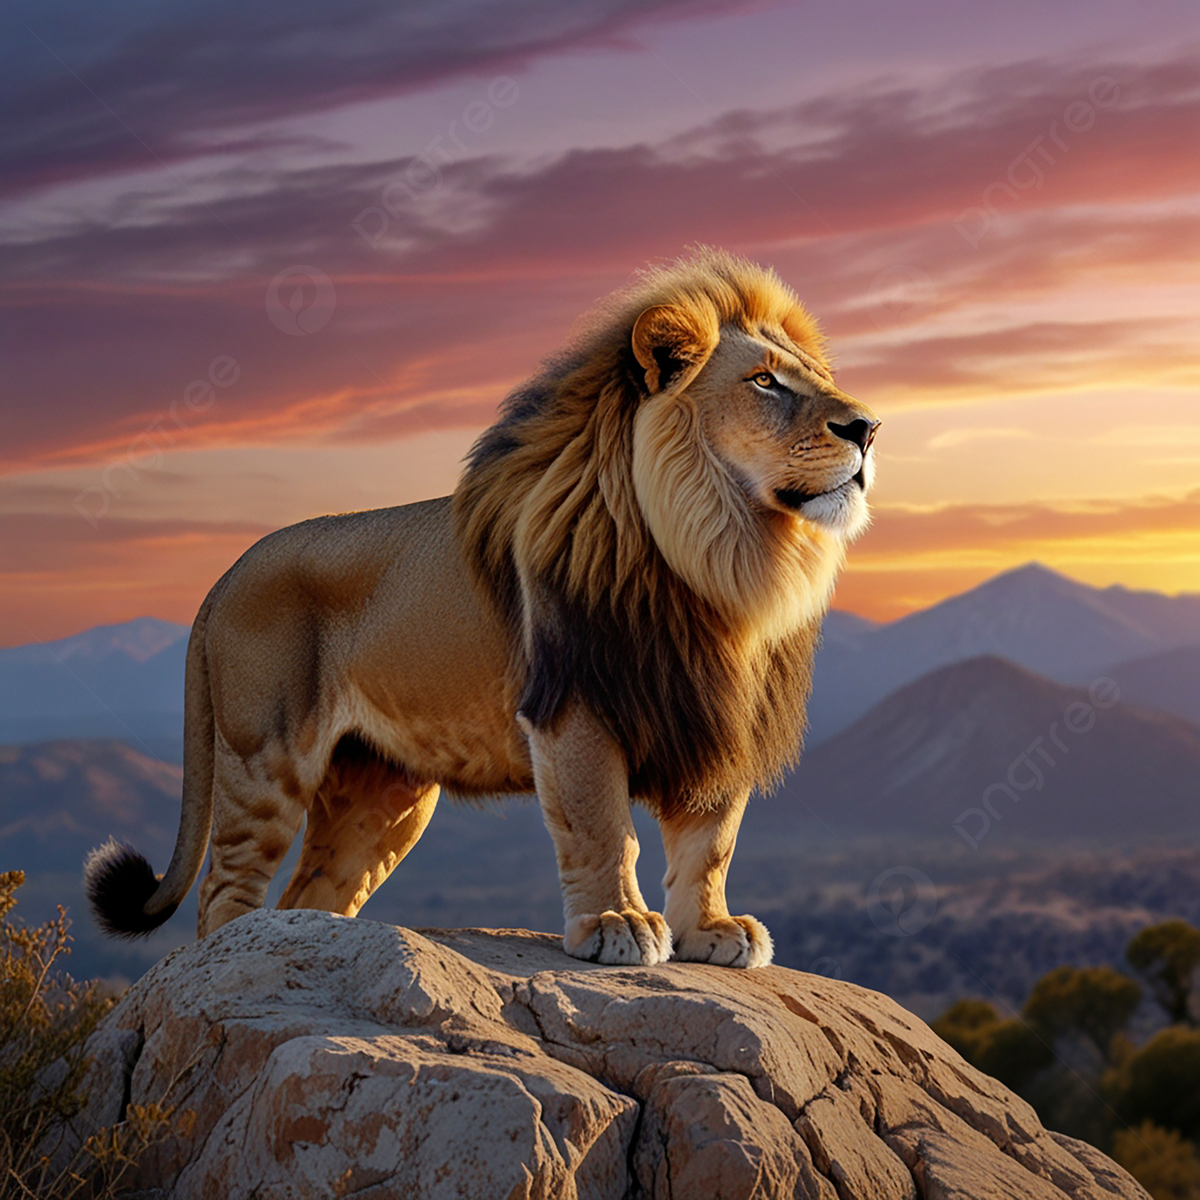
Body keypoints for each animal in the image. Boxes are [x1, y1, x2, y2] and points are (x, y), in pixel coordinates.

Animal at [84, 248, 879, 968]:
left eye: (822, 380)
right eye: (764, 381)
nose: (868, 428)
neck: (725, 563)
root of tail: (226, 574)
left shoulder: (720, 717)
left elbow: (711, 842)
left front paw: (711, 931)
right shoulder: (576, 707)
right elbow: (602, 825)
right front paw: (616, 924)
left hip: (383, 796)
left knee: (311, 894)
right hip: (263, 757)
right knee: (225, 890)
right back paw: (233, 961)